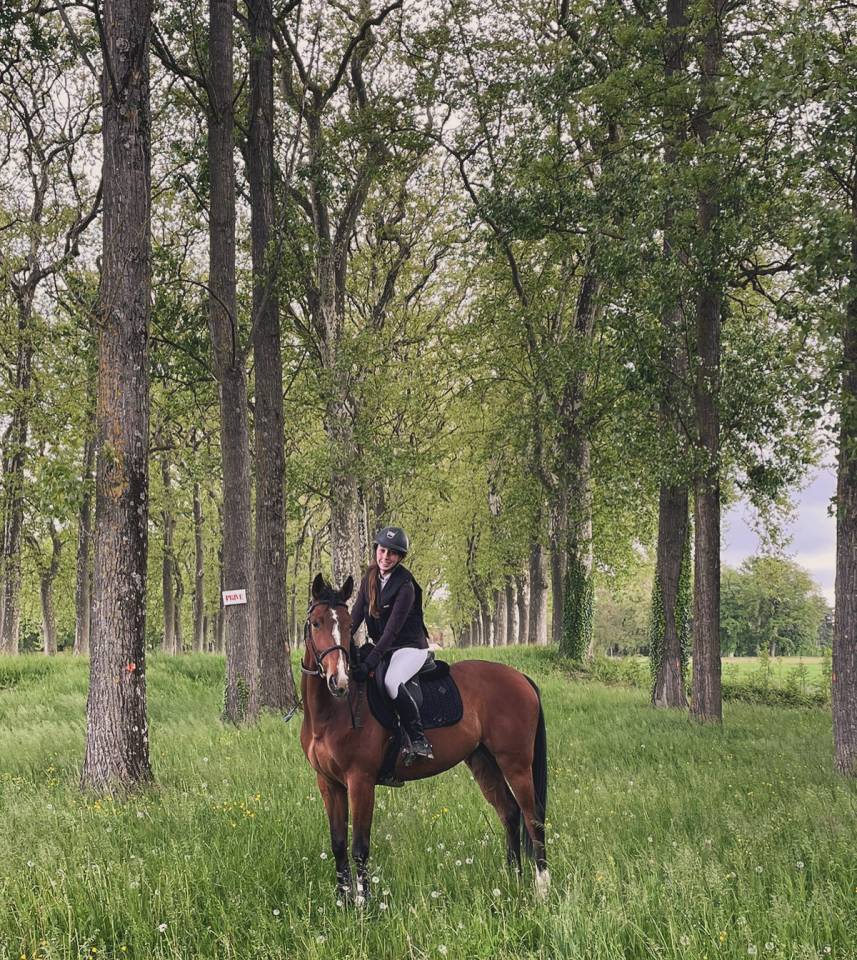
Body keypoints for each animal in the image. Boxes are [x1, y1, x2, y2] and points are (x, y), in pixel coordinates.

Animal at [299, 573, 549, 904]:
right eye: (316, 623)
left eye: (349, 625)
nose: (338, 681)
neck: (333, 711)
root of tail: (521, 678)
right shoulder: (327, 782)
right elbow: (338, 844)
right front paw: (343, 902)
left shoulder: (360, 781)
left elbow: (359, 847)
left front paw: (364, 906)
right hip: (484, 761)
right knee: (509, 812)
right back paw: (512, 880)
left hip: (516, 764)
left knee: (533, 818)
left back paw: (542, 889)